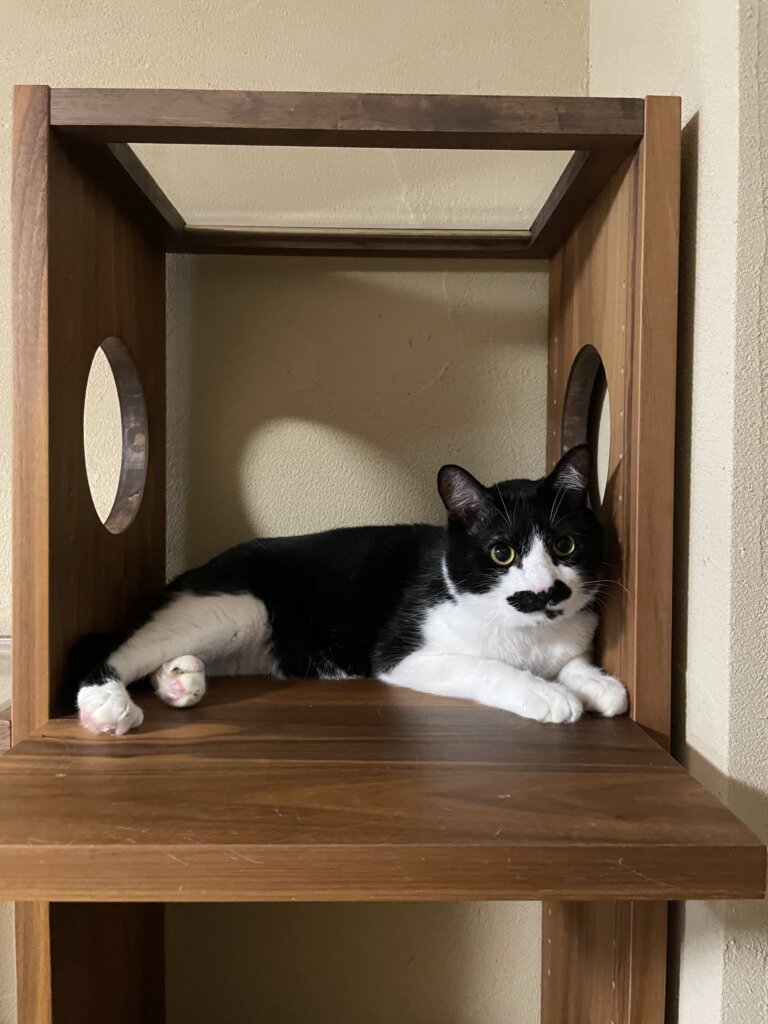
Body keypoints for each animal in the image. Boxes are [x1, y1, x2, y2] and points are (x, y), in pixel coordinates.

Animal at [77, 444, 628, 736]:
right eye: (502, 554)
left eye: (565, 544)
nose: (547, 590)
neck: (527, 630)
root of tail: (196, 569)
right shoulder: (404, 653)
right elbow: (488, 668)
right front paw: (546, 693)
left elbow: (572, 660)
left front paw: (598, 683)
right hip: (238, 608)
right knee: (113, 648)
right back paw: (106, 700)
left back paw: (179, 679)